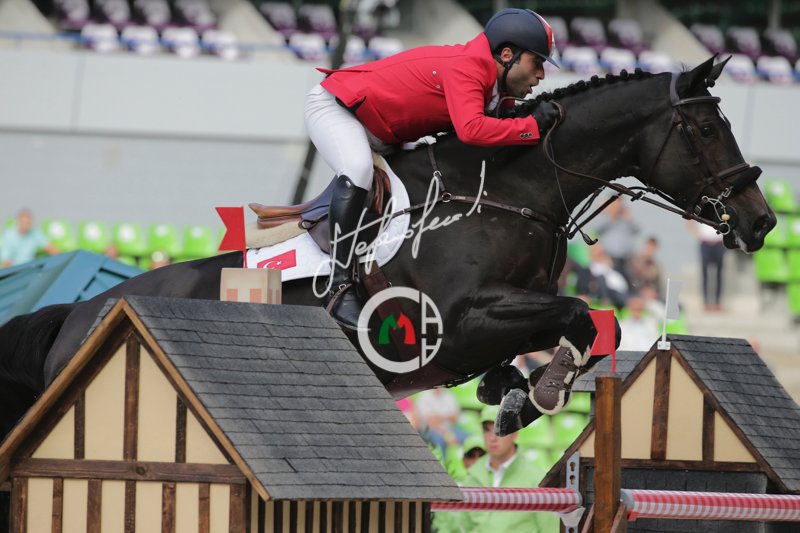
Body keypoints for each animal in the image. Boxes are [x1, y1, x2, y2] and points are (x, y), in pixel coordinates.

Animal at [0, 57, 776, 441]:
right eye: (708, 131)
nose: (762, 223)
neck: (513, 189)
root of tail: (80, 313)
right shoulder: (455, 324)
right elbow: (581, 313)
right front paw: (539, 392)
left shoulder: (503, 313)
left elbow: (579, 323)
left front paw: (511, 396)